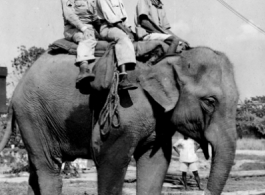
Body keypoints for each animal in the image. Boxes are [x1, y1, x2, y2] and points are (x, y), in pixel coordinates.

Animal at [0, 44, 237, 195]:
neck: (173, 58)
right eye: (209, 101)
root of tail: (16, 91)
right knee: (49, 166)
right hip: (32, 114)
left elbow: (156, 161)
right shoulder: (124, 109)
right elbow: (110, 158)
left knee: (36, 169)